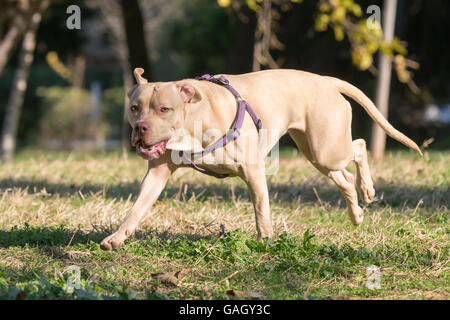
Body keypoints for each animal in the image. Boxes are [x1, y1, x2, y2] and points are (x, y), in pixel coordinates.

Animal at [99, 69, 422, 251]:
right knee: (344, 177)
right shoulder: (157, 173)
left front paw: (266, 242)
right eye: (135, 108)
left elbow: (261, 210)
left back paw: (367, 190)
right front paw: (117, 237)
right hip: (316, 153)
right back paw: (356, 213)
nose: (140, 129)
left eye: (165, 109)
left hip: (327, 147)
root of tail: (326, 81)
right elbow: (137, 208)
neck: (195, 119)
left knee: (359, 146)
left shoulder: (252, 170)